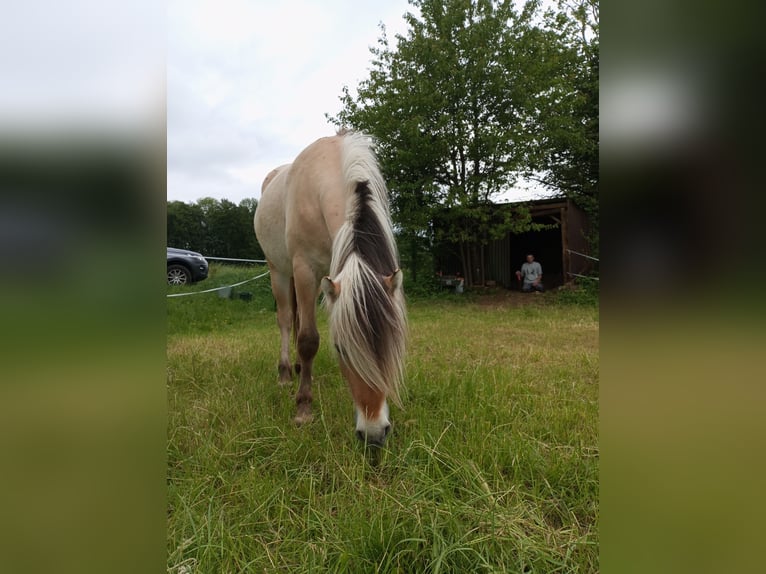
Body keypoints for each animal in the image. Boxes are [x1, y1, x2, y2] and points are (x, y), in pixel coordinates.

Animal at [254, 131, 407, 446]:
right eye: (340, 349)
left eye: (393, 343)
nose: (374, 434)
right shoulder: (304, 270)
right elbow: (308, 339)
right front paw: (303, 409)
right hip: (280, 271)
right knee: (286, 321)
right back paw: (285, 373)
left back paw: (300, 369)